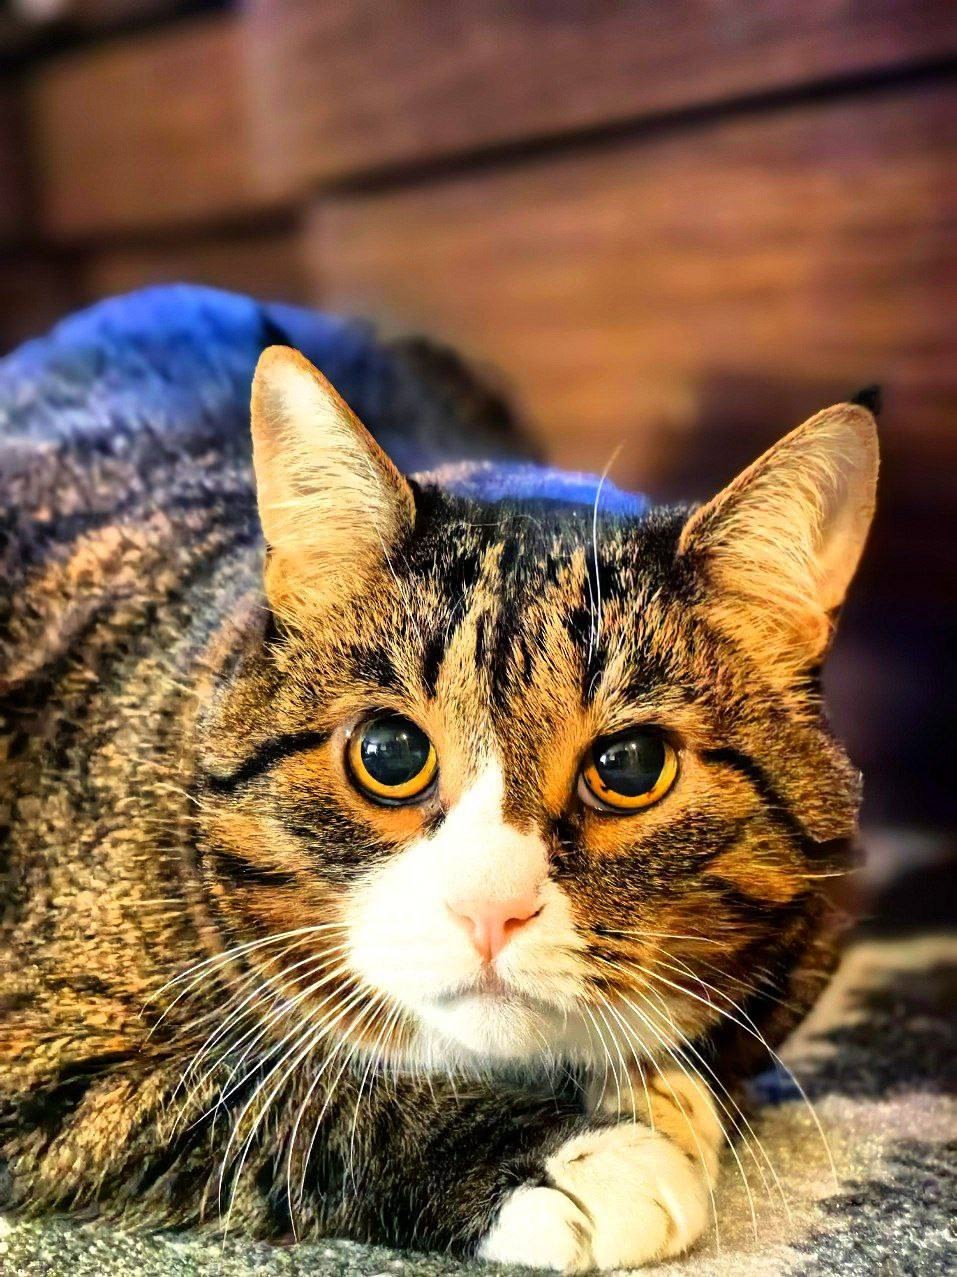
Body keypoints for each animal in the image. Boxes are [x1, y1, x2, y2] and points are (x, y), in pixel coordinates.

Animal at [0, 286, 877, 1271]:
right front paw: (581, 1152)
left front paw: (657, 1086)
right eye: (389, 752)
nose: (489, 909)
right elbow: (269, 1095)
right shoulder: (44, 1044)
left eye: (630, 765)